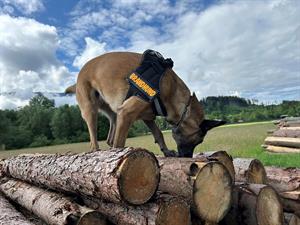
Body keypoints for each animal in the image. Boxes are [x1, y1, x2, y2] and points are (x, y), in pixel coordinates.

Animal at [65, 51, 225, 157]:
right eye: (198, 141)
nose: (186, 158)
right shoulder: (127, 113)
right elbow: (120, 143)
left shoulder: (147, 117)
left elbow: (159, 134)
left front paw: (167, 151)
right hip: (90, 109)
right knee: (94, 141)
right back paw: (97, 151)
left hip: (114, 114)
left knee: (110, 139)